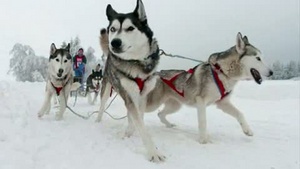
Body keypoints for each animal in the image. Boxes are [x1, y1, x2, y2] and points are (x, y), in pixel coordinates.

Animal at [95, 0, 164, 162]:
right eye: (113, 29)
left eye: (130, 28)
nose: (114, 42)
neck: (137, 62)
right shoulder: (130, 96)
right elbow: (140, 124)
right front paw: (153, 152)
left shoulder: (142, 97)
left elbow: (139, 119)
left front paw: (132, 132)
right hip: (106, 90)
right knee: (101, 108)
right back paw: (98, 122)